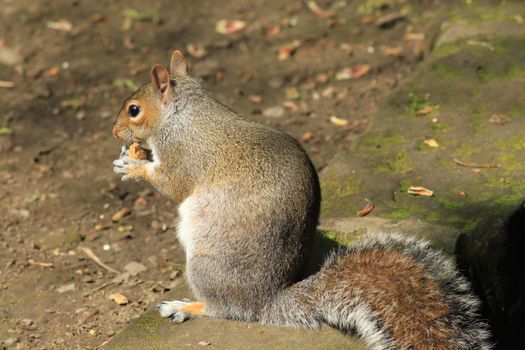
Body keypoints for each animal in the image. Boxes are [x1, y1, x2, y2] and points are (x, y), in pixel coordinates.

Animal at [111, 50, 492, 348]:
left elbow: (172, 183)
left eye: (133, 109)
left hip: (206, 265)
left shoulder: (183, 154)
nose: (115, 132)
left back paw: (187, 307)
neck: (182, 113)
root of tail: (266, 300)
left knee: (228, 310)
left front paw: (133, 166)